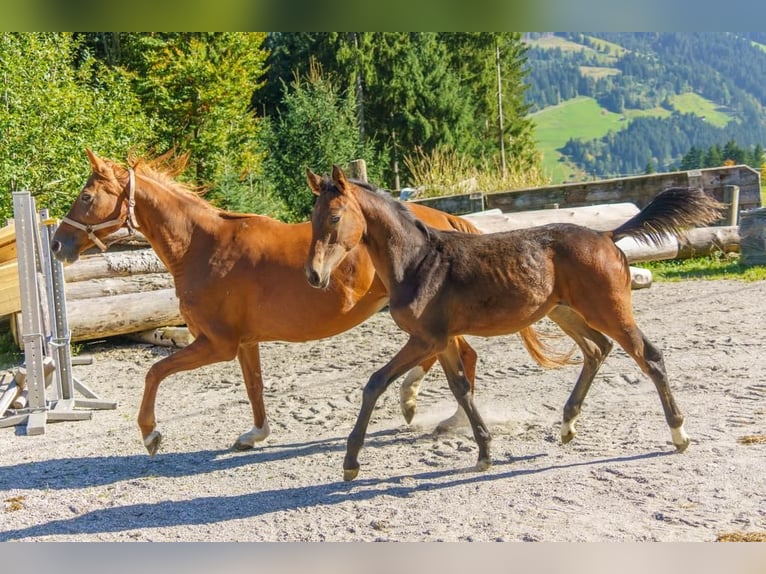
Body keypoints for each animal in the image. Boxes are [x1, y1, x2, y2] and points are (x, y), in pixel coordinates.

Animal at [51, 151, 552, 456]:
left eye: (87, 195)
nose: (57, 244)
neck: (203, 246)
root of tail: (443, 219)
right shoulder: (243, 343)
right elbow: (254, 388)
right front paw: (255, 435)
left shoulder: (216, 343)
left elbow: (154, 372)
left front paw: (151, 434)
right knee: (453, 354)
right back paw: (425, 408)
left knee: (456, 354)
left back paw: (435, 412)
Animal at [306, 165, 728, 482]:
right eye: (312, 219)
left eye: (336, 216)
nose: (313, 275)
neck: (418, 261)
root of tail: (607, 235)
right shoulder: (442, 340)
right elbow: (461, 388)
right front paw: (484, 452)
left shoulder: (426, 339)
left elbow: (375, 382)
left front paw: (350, 463)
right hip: (564, 311)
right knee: (596, 349)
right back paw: (567, 426)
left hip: (609, 310)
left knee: (649, 356)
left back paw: (679, 434)